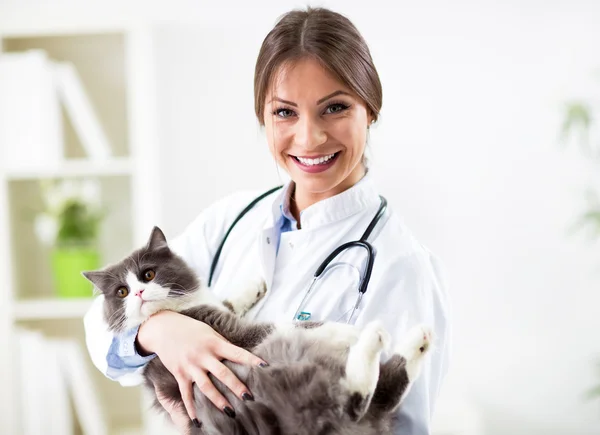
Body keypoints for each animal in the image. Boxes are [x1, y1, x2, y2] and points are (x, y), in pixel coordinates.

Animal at [83, 228, 432, 435]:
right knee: (355, 398)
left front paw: (255, 286)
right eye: (122, 292)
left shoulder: (217, 312)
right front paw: (343, 328)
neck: (176, 309)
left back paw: (418, 341)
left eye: (148, 274)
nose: (140, 294)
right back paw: (374, 336)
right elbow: (286, 324)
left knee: (383, 392)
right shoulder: (233, 335)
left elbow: (230, 300)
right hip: (284, 381)